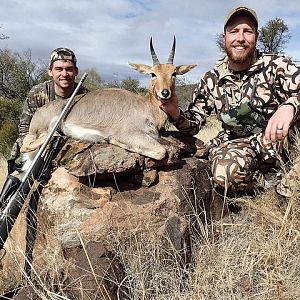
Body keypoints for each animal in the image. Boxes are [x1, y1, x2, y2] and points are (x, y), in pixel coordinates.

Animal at [20, 37, 197, 164]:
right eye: (152, 74)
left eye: (174, 73)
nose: (165, 93)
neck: (147, 108)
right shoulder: (129, 134)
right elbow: (161, 151)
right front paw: (112, 140)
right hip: (38, 131)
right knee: (25, 146)